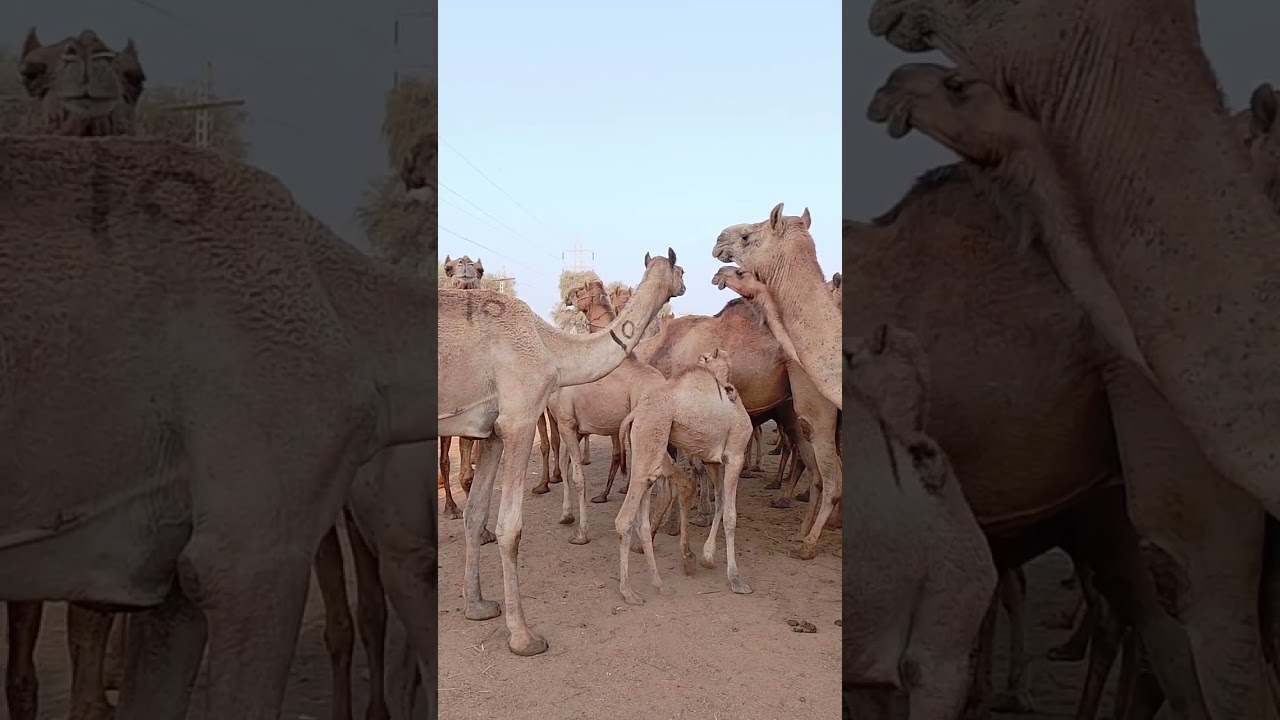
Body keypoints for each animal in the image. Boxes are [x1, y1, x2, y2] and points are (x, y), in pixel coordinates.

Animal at [440, 249, 685, 656]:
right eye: (680, 270)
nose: (686, 285)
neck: (551, 347)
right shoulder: (520, 419)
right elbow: (510, 527)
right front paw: (523, 636)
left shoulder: (491, 431)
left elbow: (475, 515)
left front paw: (477, 607)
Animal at [614, 348, 753, 605]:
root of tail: (634, 413)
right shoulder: (736, 455)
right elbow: (730, 515)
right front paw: (736, 579)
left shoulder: (713, 460)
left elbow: (720, 502)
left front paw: (707, 557)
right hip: (652, 438)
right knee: (624, 519)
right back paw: (628, 592)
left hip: (646, 452)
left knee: (643, 518)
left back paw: (659, 584)